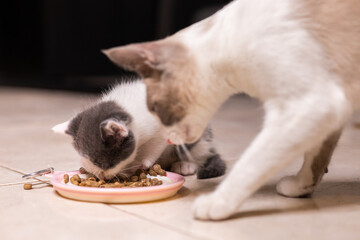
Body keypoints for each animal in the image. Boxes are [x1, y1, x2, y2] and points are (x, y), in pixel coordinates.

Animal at [52, 79, 225, 180]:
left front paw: (142, 163)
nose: (101, 176)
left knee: (200, 152)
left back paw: (185, 164)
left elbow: (154, 147)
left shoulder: (162, 131)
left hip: (198, 134)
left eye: (108, 164)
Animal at [102, 0, 360, 220]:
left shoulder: (312, 104)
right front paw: (299, 187)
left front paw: (216, 203)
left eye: (155, 108)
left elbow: (252, 163)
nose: (166, 139)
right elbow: (314, 158)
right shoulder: (328, 110)